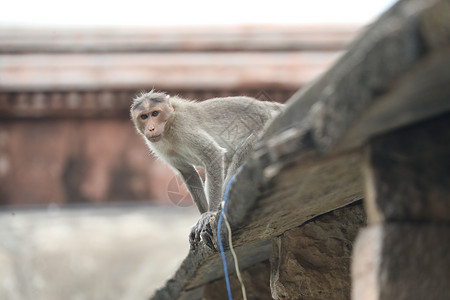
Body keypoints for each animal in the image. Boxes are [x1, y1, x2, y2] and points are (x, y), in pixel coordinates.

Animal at [131, 90, 284, 250]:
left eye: (155, 113)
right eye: (144, 116)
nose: (151, 128)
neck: (168, 127)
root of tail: (267, 106)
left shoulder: (183, 126)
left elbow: (212, 155)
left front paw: (209, 214)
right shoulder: (157, 144)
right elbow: (187, 172)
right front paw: (203, 217)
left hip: (264, 130)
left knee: (241, 153)